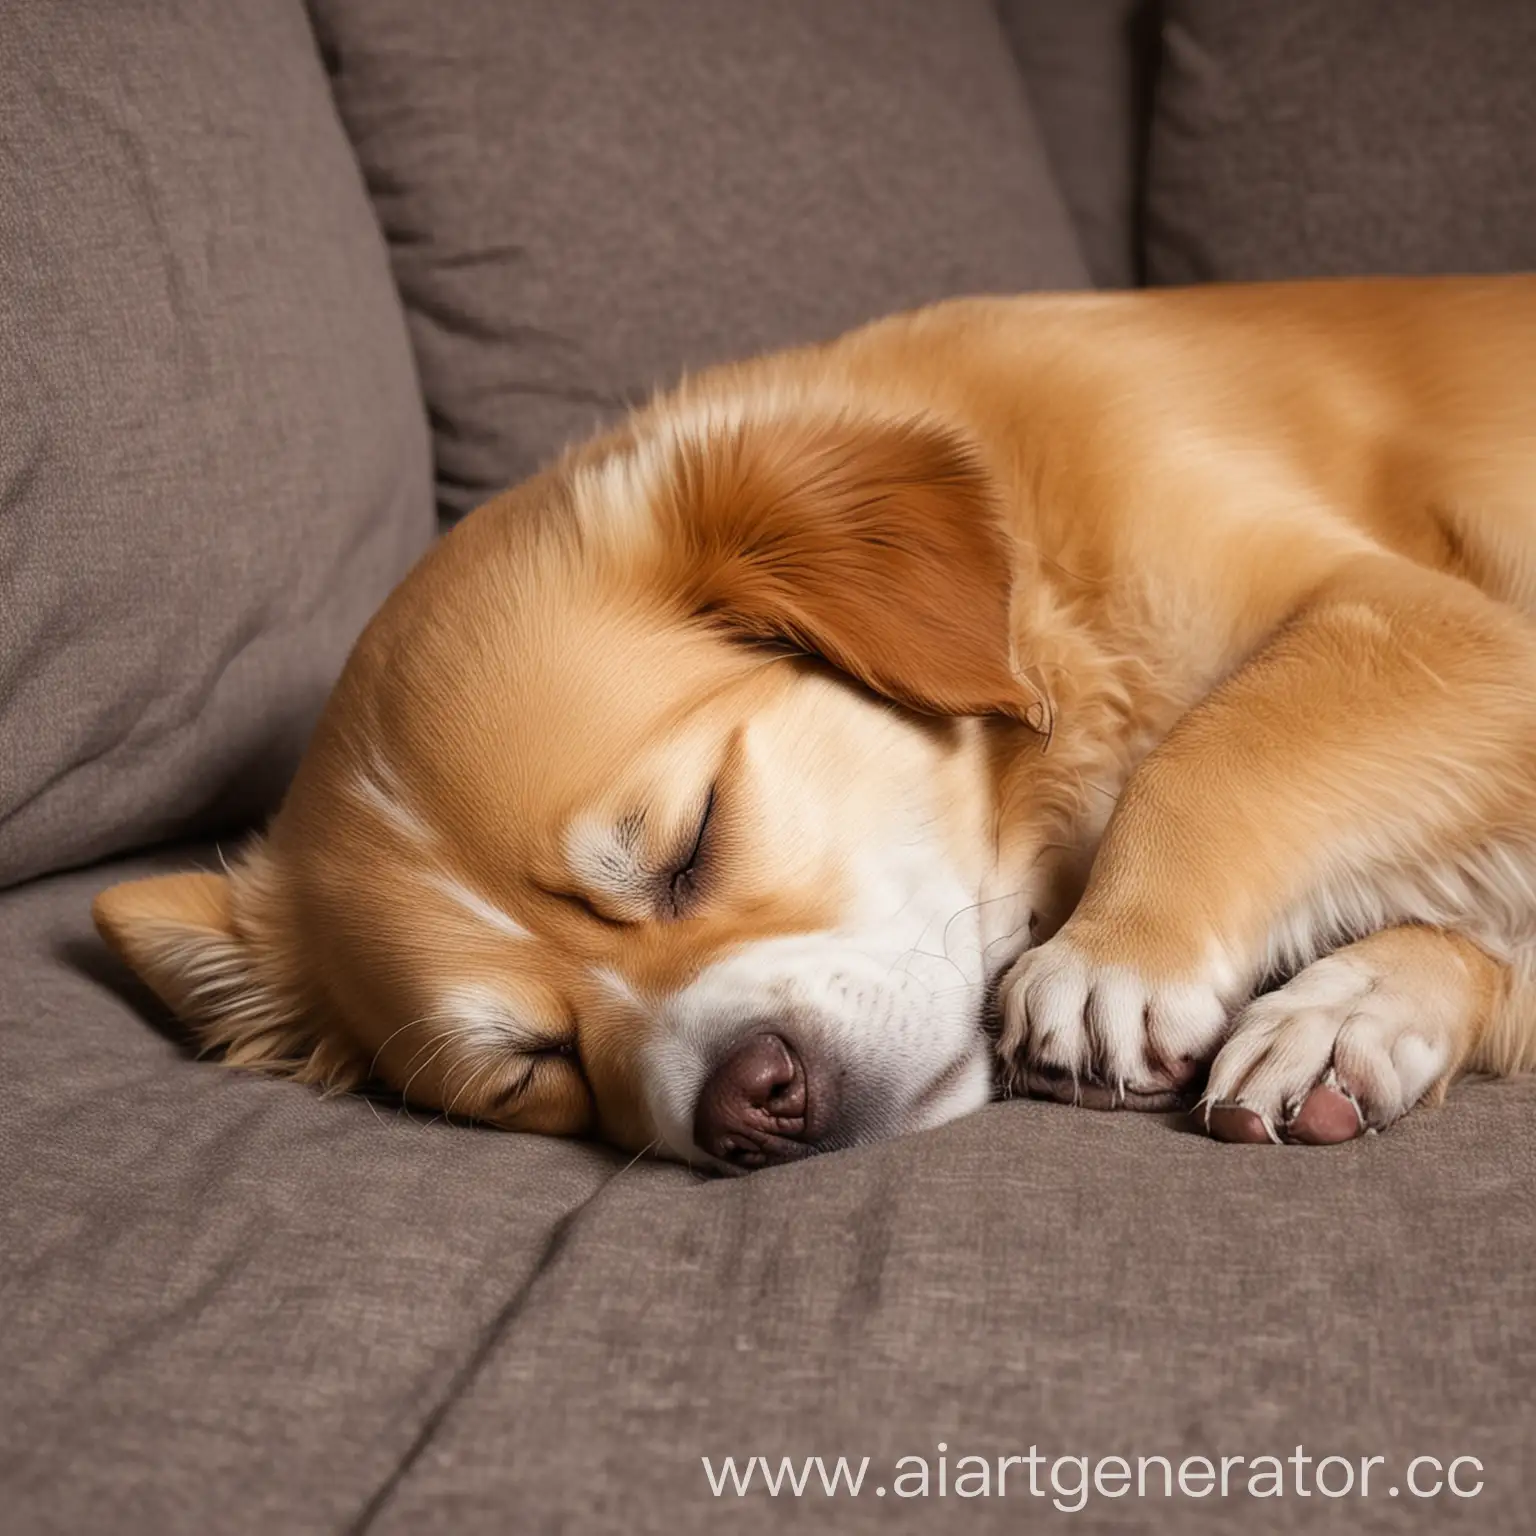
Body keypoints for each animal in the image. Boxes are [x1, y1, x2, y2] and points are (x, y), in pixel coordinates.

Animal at [92, 273, 1536, 1161]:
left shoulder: (1447, 628)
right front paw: (1350, 1017)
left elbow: (1223, 743)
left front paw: (1125, 953)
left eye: (692, 842)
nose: (751, 1104)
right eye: (529, 1069)